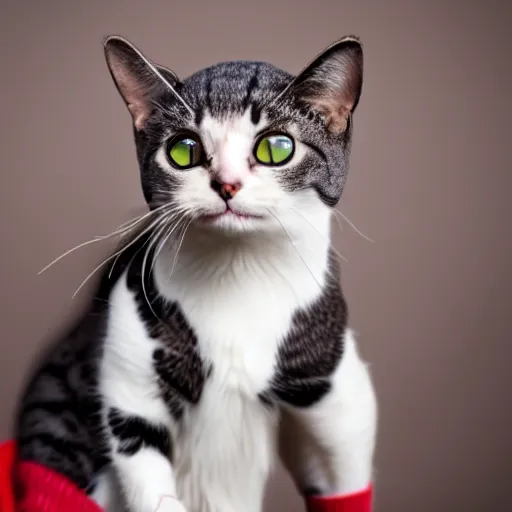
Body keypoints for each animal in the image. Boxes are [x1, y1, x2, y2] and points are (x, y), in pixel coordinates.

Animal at [14, 35, 378, 512]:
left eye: (277, 148)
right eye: (183, 150)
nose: (226, 184)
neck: (238, 274)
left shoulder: (337, 395)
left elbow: (342, 467)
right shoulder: (130, 387)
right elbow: (148, 476)